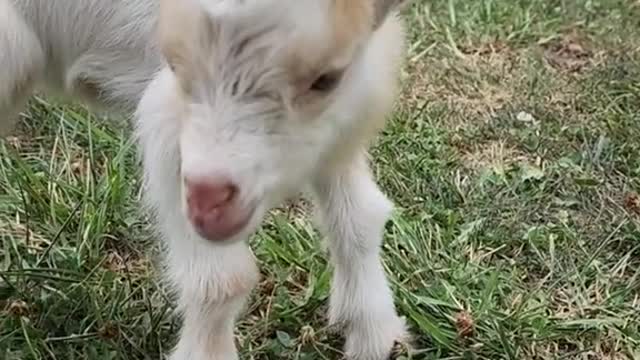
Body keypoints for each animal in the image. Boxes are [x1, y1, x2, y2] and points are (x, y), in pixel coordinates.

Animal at [1, 1, 410, 358]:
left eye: (325, 79)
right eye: (179, 65)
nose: (213, 206)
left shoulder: (343, 125)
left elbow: (360, 218)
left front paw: (374, 334)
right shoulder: (170, 123)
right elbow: (223, 280)